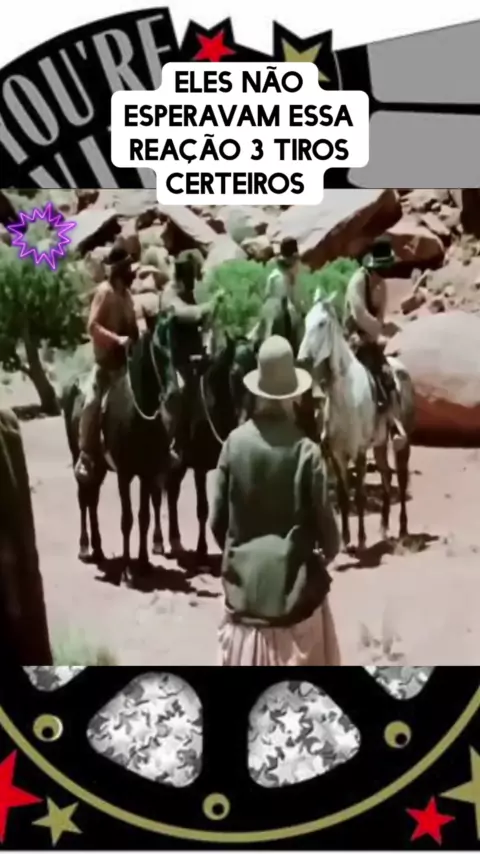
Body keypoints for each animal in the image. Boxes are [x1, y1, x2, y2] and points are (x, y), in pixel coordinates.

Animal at [62, 326, 172, 581]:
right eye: (160, 350)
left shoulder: (147, 473)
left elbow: (143, 517)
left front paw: (143, 563)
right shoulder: (124, 474)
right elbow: (127, 519)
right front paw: (127, 569)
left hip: (100, 466)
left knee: (93, 500)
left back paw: (99, 549)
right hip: (79, 456)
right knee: (84, 498)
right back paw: (85, 547)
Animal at [297, 292, 415, 551]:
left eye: (322, 323)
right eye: (305, 321)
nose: (303, 359)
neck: (345, 395)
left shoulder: (359, 451)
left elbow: (359, 494)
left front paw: (361, 539)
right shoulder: (337, 455)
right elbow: (343, 495)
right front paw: (346, 540)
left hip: (402, 443)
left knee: (401, 479)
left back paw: (403, 529)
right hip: (380, 444)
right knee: (386, 475)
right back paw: (384, 527)